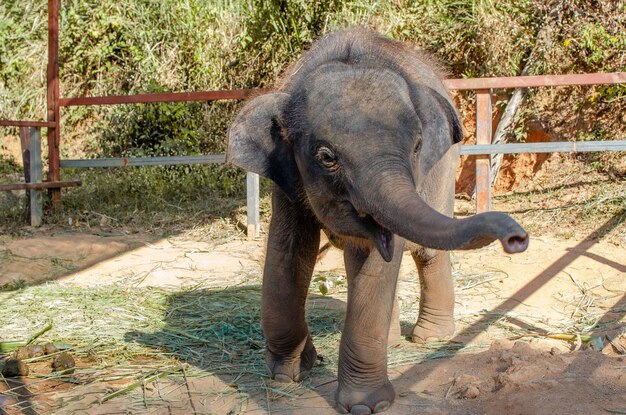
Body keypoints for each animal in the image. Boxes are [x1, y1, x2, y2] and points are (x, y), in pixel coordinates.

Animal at [225, 29, 528, 415]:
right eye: (327, 157)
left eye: (416, 146)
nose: (517, 238)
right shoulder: (286, 178)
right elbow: (289, 250)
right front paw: (287, 373)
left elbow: (378, 258)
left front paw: (365, 406)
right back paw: (393, 343)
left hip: (447, 166)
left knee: (425, 252)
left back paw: (429, 337)